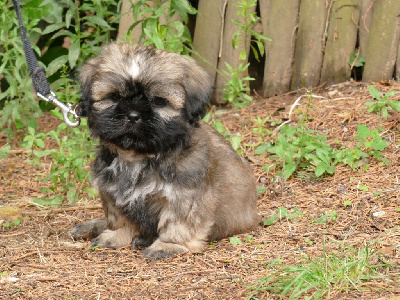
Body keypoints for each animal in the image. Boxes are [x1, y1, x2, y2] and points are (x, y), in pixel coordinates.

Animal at [71, 42, 260, 260]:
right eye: (114, 96)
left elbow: (177, 223)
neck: (140, 157)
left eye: (158, 101)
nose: (132, 115)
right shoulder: (113, 192)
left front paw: (167, 245)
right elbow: (119, 218)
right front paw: (116, 235)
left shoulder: (184, 196)